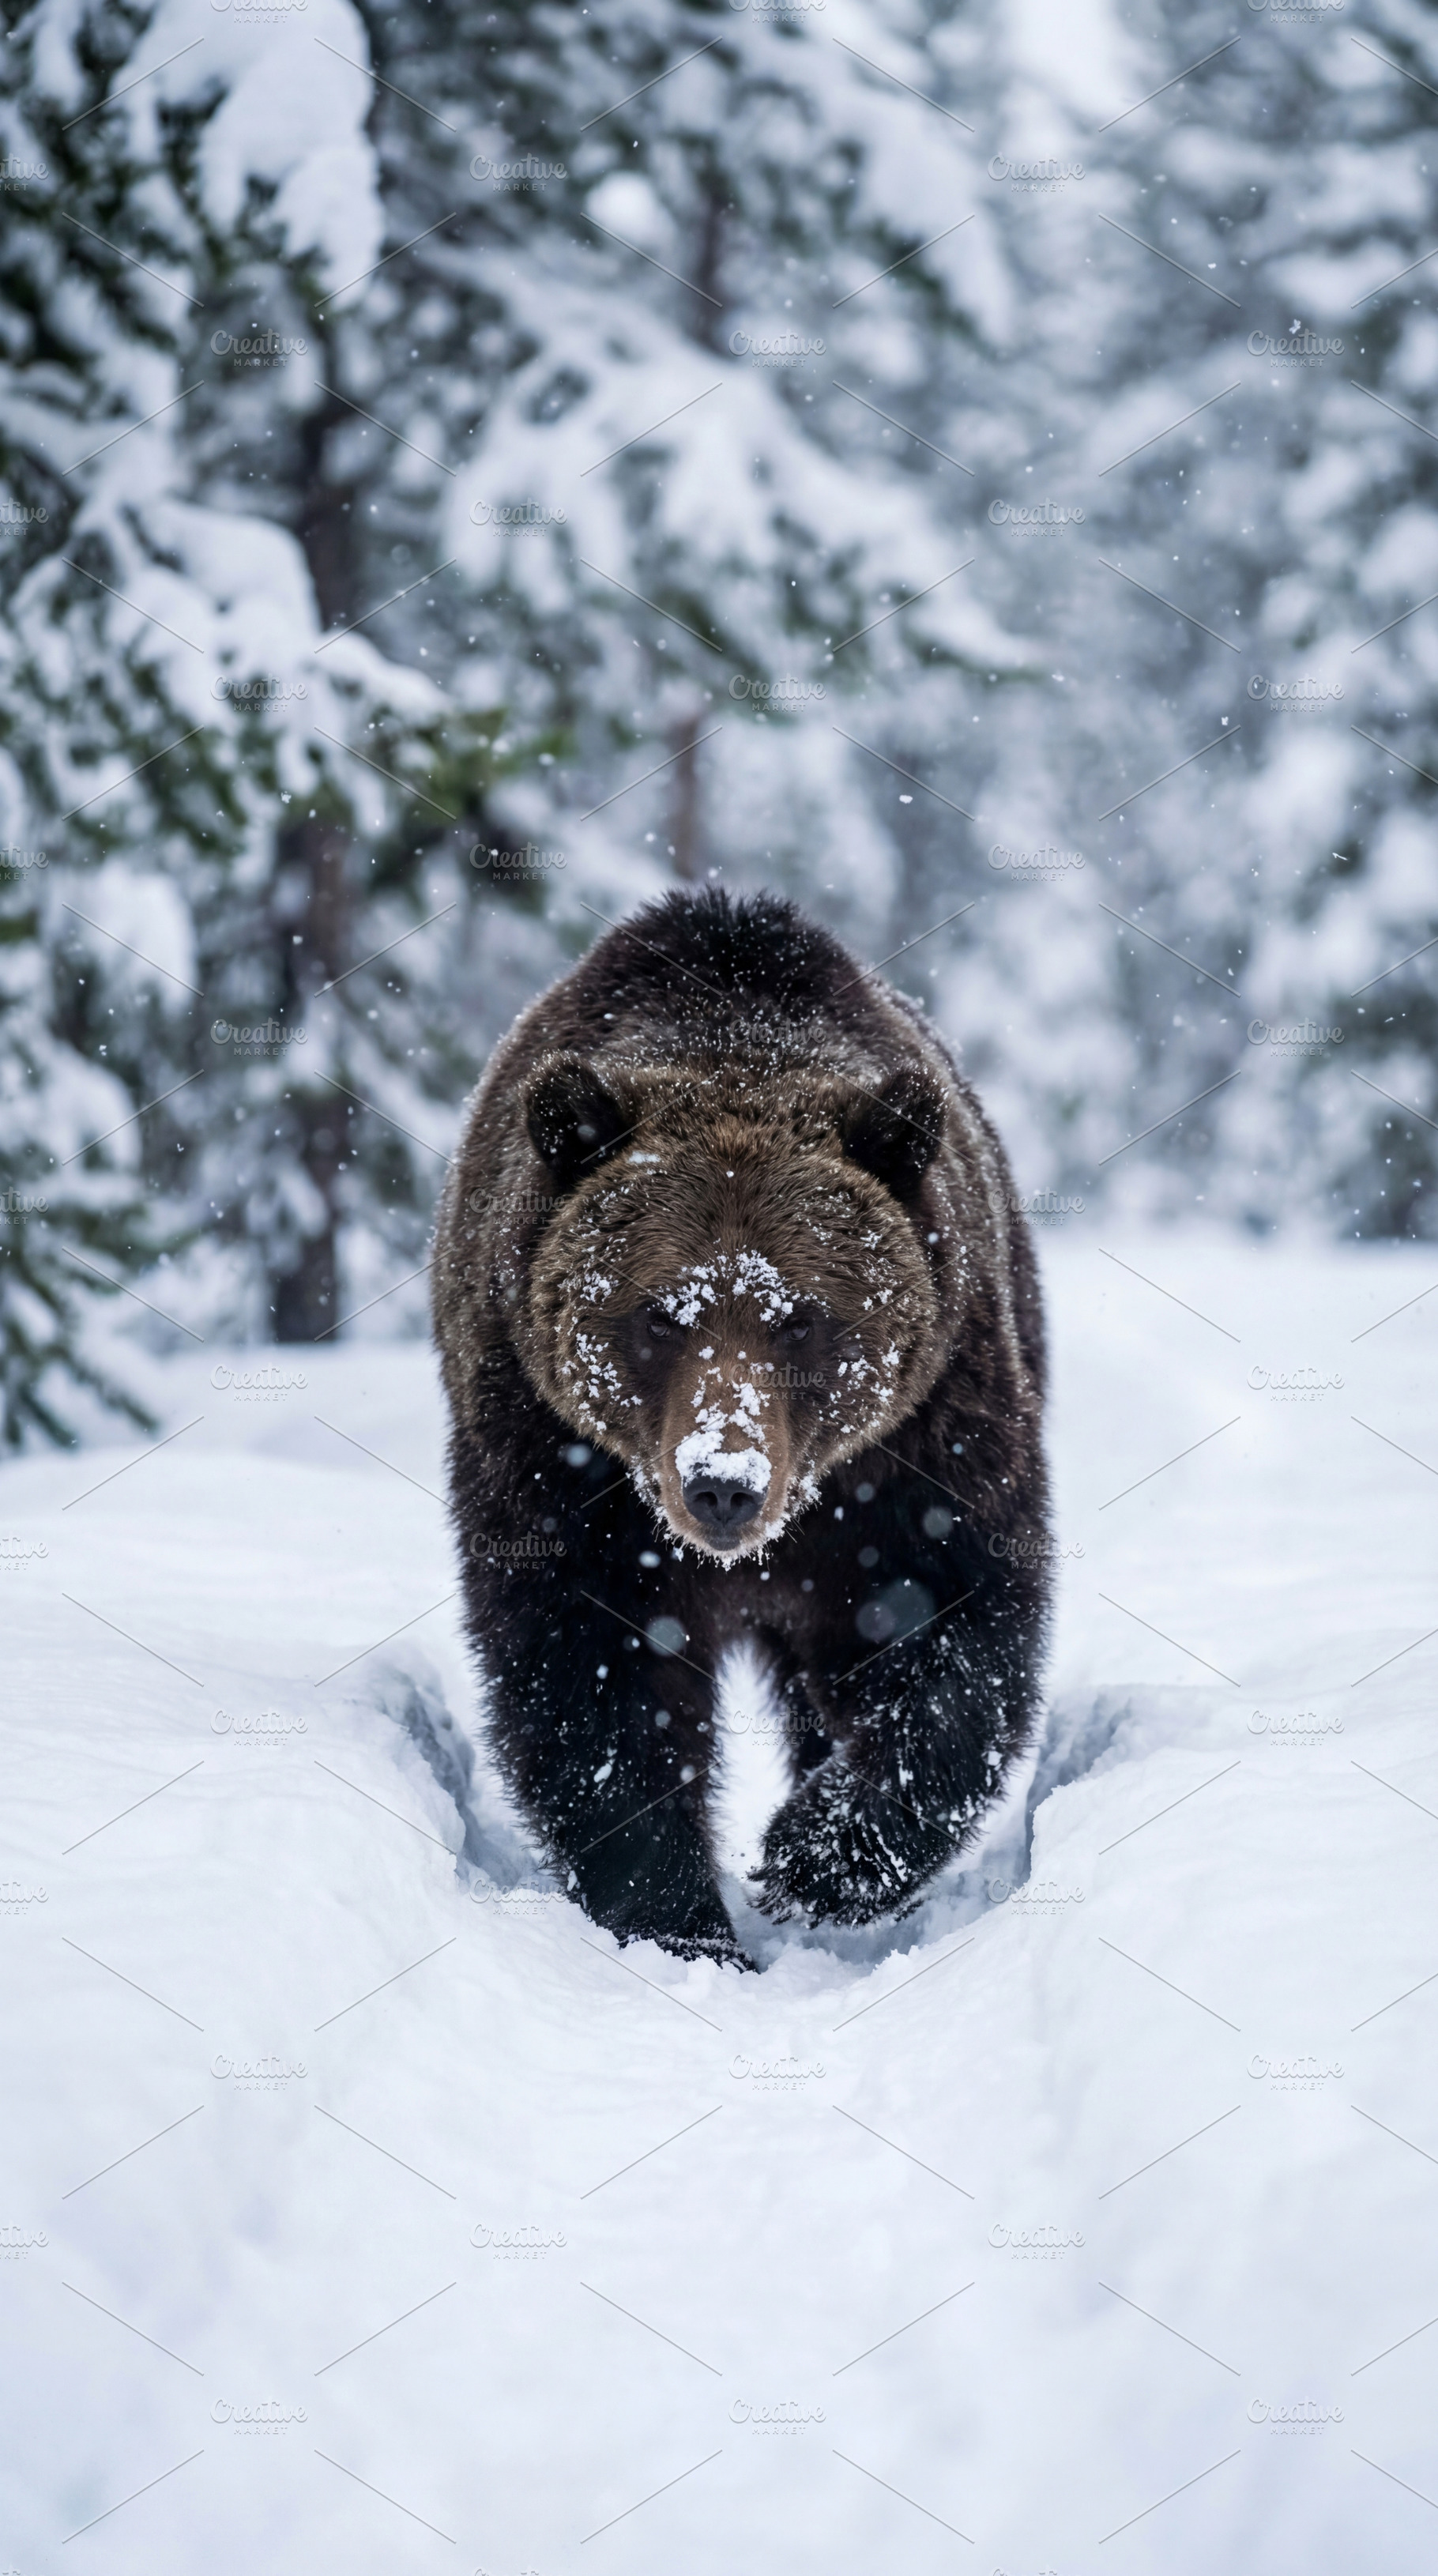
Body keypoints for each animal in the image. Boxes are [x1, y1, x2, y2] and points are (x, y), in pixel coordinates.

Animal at [432, 887, 1050, 1964]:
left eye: (799, 1314)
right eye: (656, 1313)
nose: (723, 1482)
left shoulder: (918, 1446)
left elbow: (950, 1625)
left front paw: (813, 1856)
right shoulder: (558, 1464)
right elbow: (594, 1679)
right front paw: (680, 1923)